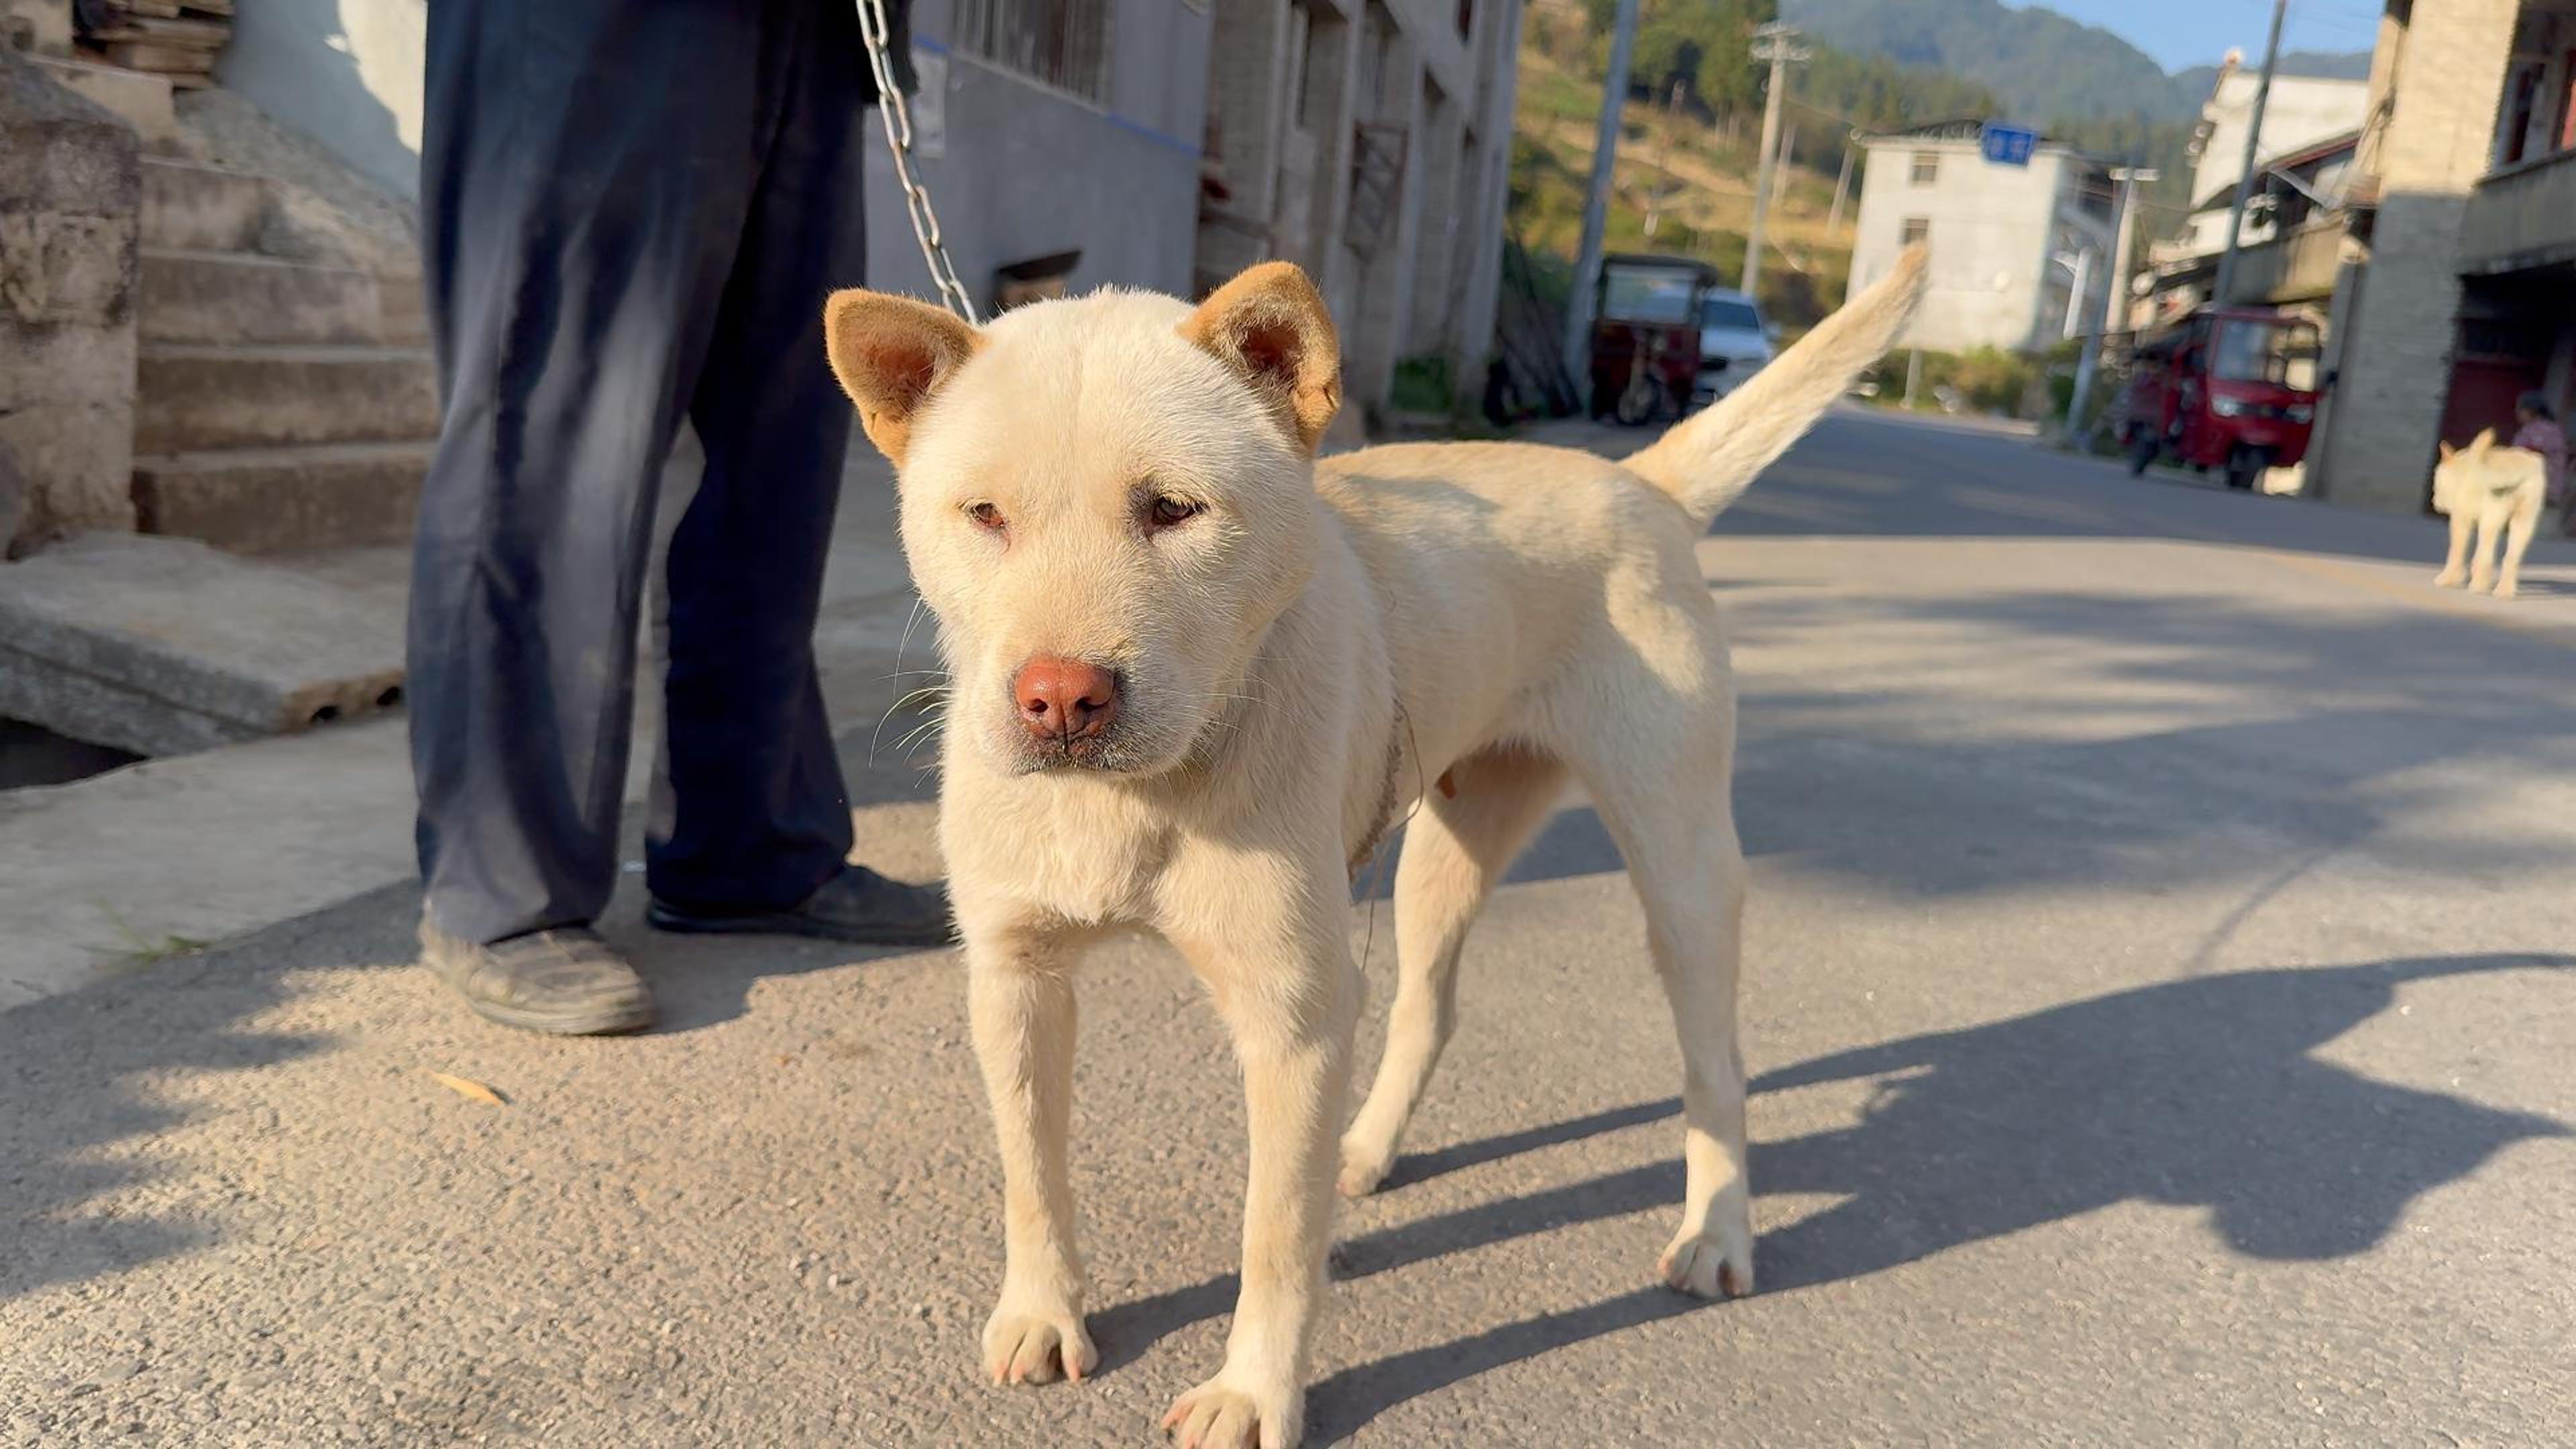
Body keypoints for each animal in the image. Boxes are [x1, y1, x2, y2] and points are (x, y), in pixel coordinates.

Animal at [824, 242, 1937, 1433]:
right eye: (984, 514)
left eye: (1173, 509)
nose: (1061, 701)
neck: (1143, 796)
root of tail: (1639, 482)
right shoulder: (1014, 976)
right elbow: (1031, 1172)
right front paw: (1042, 1311)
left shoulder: (1294, 1021)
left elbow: (1276, 1238)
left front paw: (1255, 1392)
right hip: (1444, 856)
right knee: (1429, 1008)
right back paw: (1365, 1146)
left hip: (1681, 864)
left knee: (1717, 1066)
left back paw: (1719, 1232)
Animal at [2421, 423, 2544, 598]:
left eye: (2435, 483)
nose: (2434, 502)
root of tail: (2515, 468)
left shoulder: (2460, 519)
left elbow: (2455, 551)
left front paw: (2449, 578)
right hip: (2525, 519)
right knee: (2512, 557)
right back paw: (2504, 591)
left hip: (2491, 517)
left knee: (2485, 556)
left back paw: (2478, 586)